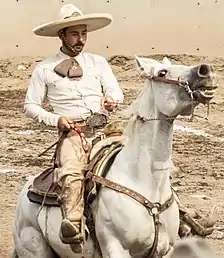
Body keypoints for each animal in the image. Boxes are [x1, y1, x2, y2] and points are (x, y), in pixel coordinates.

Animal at [11, 55, 216, 256]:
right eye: (162, 72)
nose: (205, 70)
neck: (144, 182)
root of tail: (25, 192)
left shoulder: (165, 248)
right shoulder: (116, 247)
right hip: (34, 248)